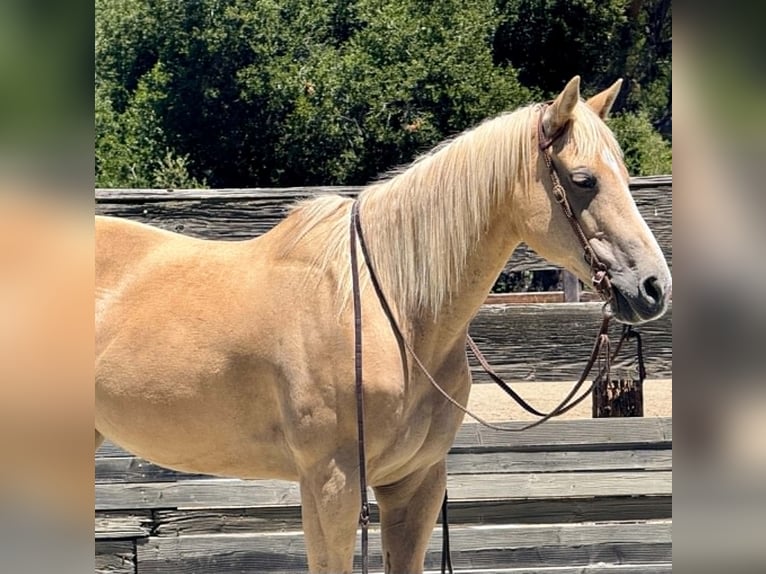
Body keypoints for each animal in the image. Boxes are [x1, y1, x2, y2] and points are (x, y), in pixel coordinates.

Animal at [95, 76, 671, 573]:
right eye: (583, 179)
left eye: (625, 176)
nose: (653, 287)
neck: (387, 307)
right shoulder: (331, 483)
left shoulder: (415, 483)